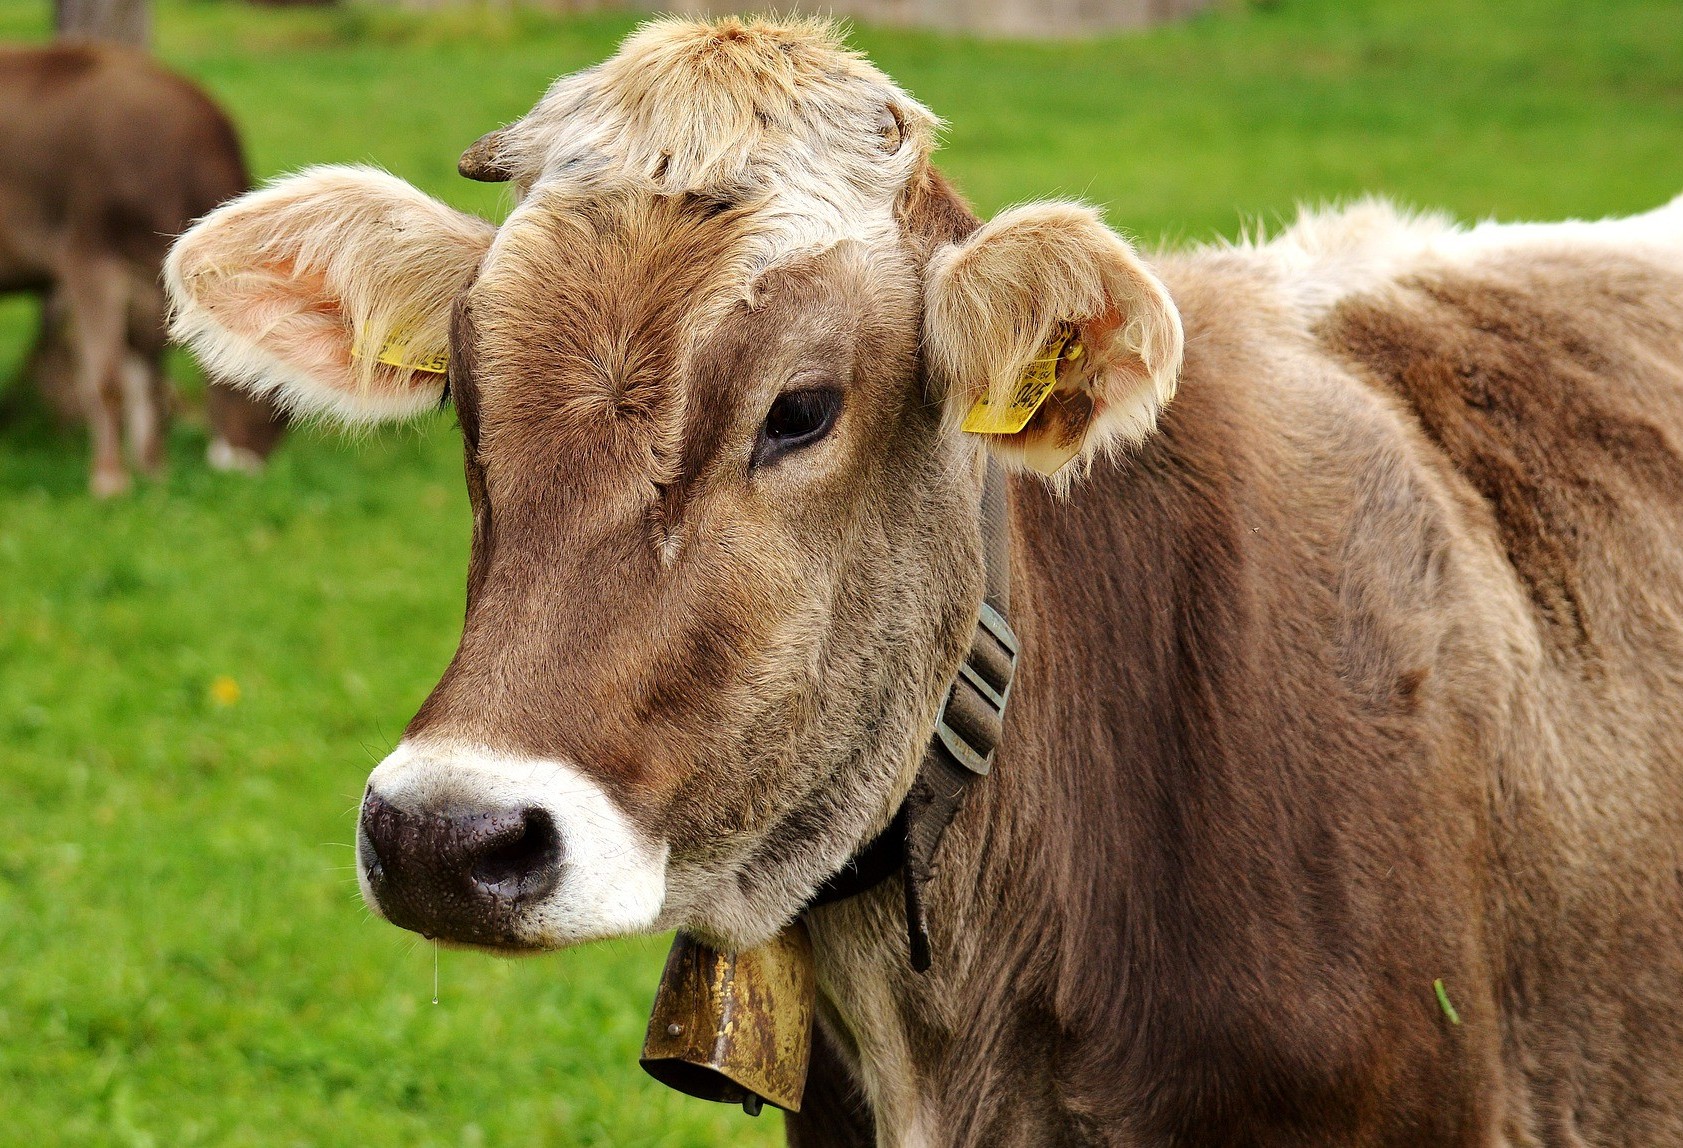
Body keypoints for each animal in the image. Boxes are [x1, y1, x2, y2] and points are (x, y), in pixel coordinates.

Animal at [0, 42, 286, 491]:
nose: (246, 467)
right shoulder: (87, 258)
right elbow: (107, 380)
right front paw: (110, 479)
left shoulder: (152, 283)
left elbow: (149, 382)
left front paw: (154, 472)